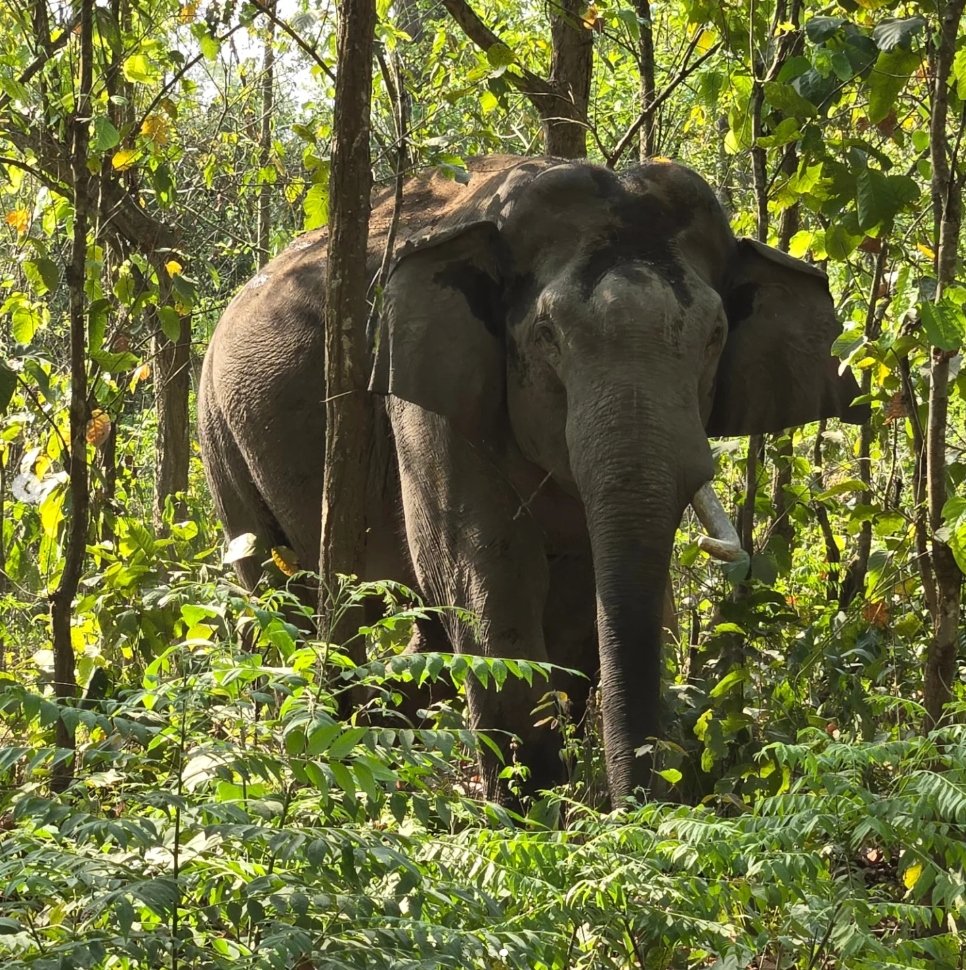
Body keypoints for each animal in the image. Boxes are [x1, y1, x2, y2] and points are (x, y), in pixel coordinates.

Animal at [198, 155, 866, 803]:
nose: (640, 805)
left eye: (716, 336)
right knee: (296, 596)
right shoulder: (427, 399)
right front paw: (533, 808)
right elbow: (488, 575)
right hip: (220, 434)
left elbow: (571, 599)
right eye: (547, 335)